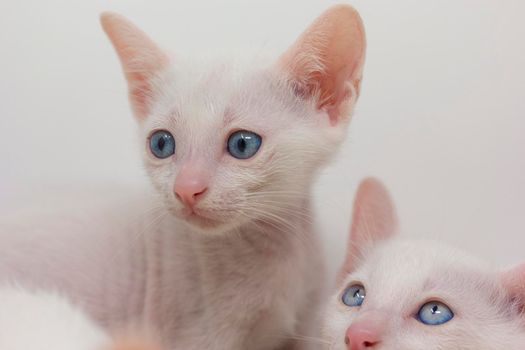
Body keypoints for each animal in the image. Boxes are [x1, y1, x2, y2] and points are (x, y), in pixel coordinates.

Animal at [0, 4, 364, 350]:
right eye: (162, 144)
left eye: (242, 144)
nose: (187, 189)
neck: (277, 255)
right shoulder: (196, 332)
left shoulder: (307, 320)